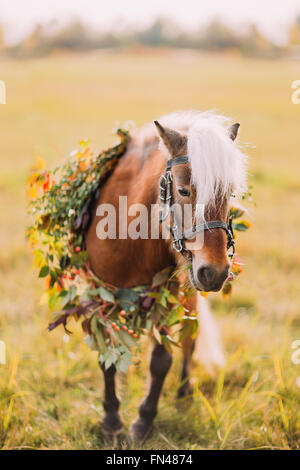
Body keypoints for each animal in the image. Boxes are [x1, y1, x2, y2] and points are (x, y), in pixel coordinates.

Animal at [85, 108, 247, 442]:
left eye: (230, 193)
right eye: (184, 190)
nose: (215, 273)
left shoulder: (168, 298)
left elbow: (162, 360)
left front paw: (144, 420)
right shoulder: (99, 299)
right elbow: (107, 358)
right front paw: (111, 420)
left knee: (190, 339)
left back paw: (185, 392)